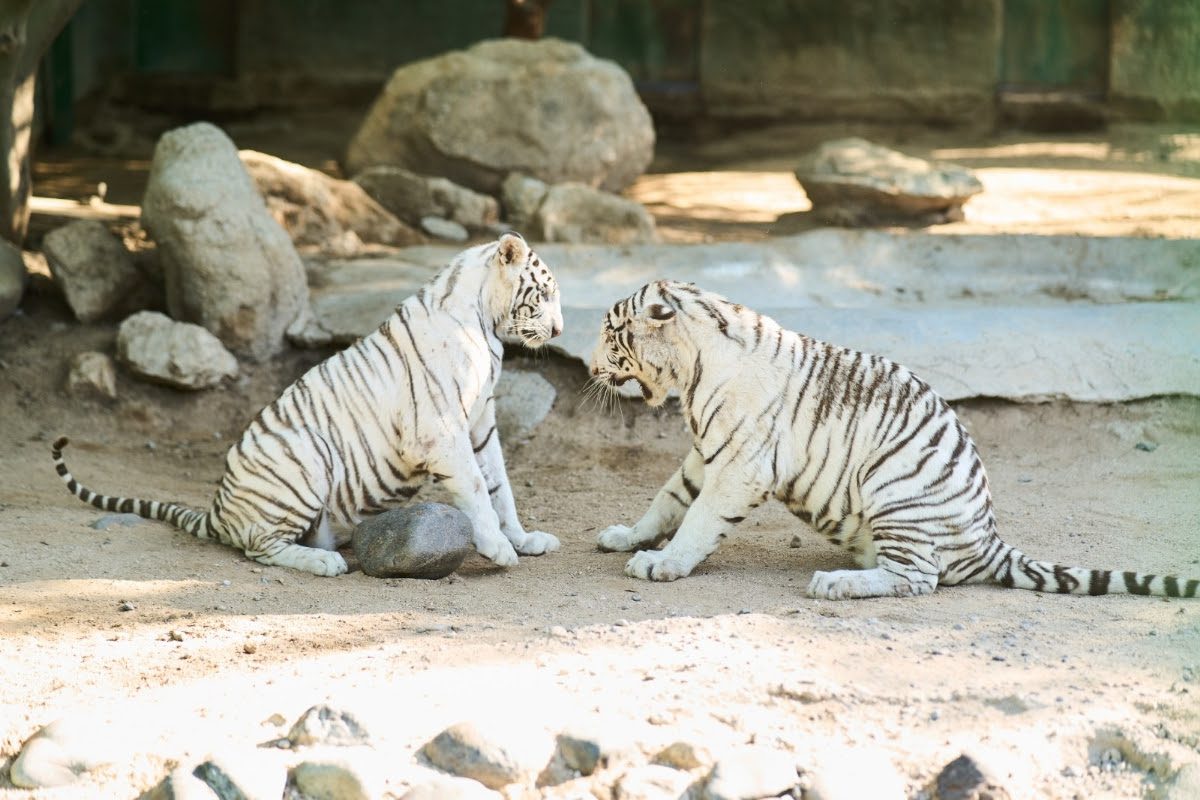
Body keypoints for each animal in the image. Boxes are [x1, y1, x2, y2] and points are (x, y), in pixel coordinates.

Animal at [52, 233, 563, 577]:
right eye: (544, 294)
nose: (559, 330)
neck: (485, 322)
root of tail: (218, 508)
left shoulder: (480, 424)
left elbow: (500, 488)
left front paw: (524, 539)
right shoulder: (441, 431)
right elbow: (477, 489)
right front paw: (500, 549)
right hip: (305, 457)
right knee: (258, 546)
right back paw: (324, 562)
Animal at [589, 280, 1198, 600]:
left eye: (611, 334)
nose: (591, 368)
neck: (691, 370)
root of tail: (989, 538)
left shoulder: (740, 465)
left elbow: (697, 520)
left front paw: (661, 565)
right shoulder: (705, 454)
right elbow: (668, 499)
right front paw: (628, 537)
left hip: (895, 488)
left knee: (919, 579)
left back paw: (834, 582)